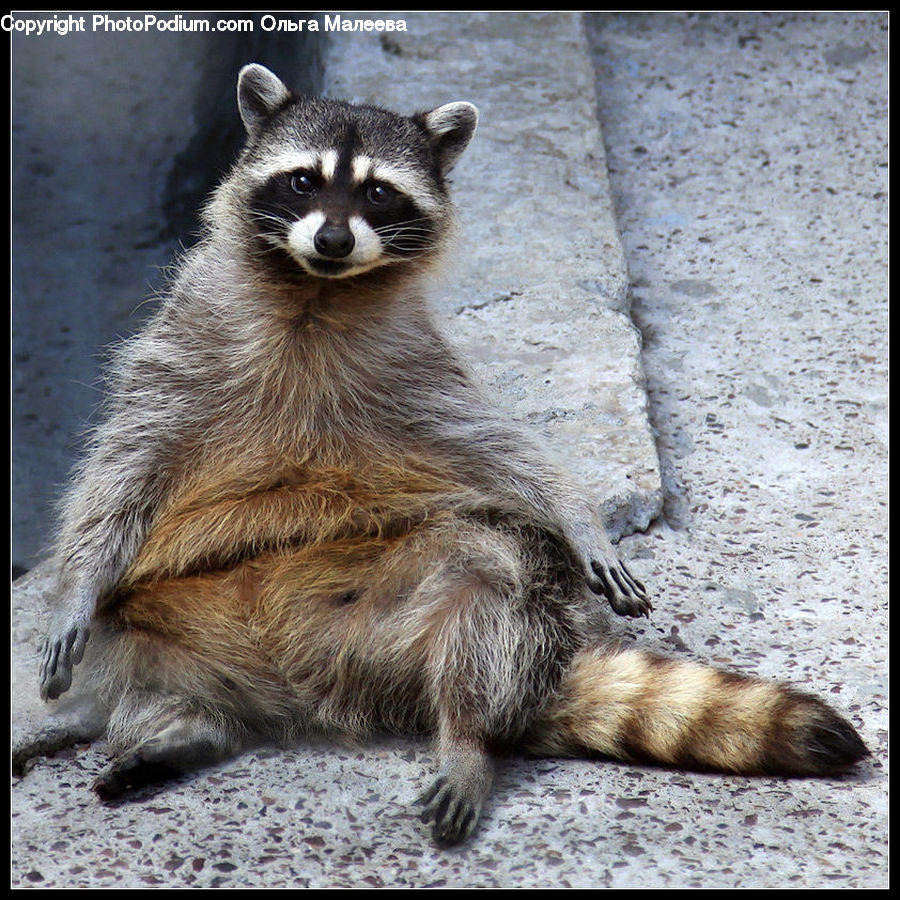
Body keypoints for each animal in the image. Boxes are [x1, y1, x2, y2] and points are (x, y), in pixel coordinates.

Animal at [36, 64, 867, 846]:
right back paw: (183, 725)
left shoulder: (415, 366)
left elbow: (499, 445)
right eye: (303, 180)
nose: (333, 239)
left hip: (436, 612)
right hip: (173, 615)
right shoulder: (188, 341)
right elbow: (125, 463)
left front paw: (579, 517)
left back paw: (466, 736)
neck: (316, 289)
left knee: (493, 570)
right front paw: (73, 587)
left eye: (377, 194)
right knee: (128, 644)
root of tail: (294, 682)